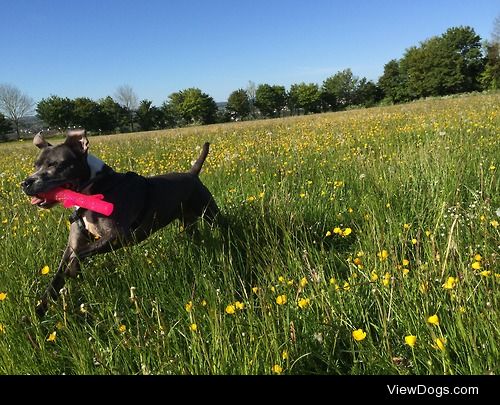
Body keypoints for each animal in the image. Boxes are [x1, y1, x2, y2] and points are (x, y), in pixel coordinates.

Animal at [22, 129, 219, 316]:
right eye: (35, 165)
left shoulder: (118, 235)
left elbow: (80, 253)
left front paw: (73, 268)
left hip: (209, 211)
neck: (95, 189)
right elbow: (56, 278)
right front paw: (36, 314)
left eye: (55, 165)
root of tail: (192, 174)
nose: (25, 183)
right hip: (188, 221)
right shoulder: (73, 243)